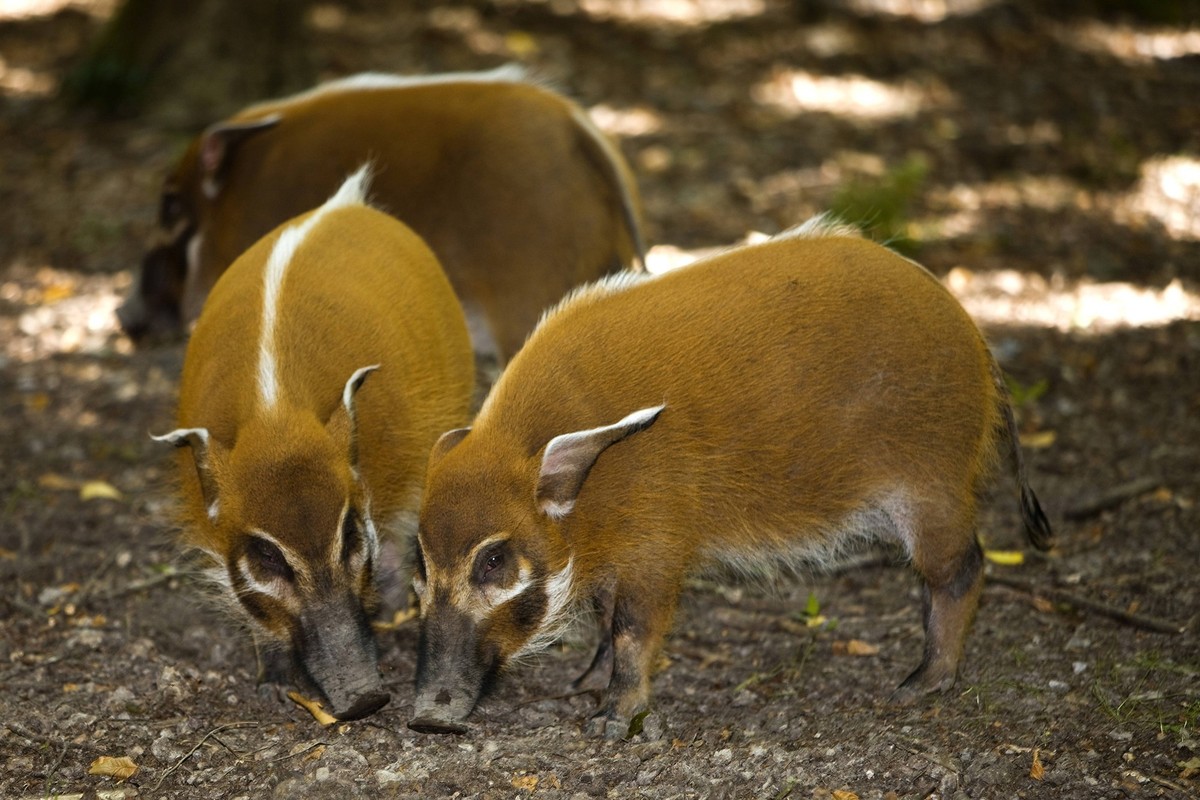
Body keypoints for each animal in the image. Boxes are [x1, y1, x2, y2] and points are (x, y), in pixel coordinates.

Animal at [155, 167, 474, 720]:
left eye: (349, 534)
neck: (275, 415)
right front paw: (271, 683)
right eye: (266, 556)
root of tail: (344, 203)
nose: (366, 697)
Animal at [407, 217, 1052, 737]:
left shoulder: (657, 550)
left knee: (962, 569)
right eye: (420, 563)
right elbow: (605, 620)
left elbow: (632, 630)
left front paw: (611, 721)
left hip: (931, 486)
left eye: (494, 560)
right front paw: (580, 684)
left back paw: (918, 685)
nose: (427, 716)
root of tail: (973, 334)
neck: (588, 494)